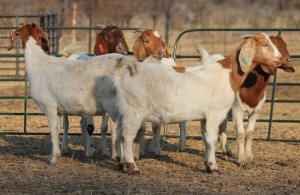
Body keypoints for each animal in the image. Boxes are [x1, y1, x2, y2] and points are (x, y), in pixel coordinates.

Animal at [6, 22, 126, 165]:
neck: (38, 62)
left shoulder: (49, 106)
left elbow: (52, 130)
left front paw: (53, 159)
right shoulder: (57, 110)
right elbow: (57, 130)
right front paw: (52, 155)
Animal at [113, 32, 282, 175]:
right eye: (264, 44)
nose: (280, 59)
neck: (228, 74)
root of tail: (131, 70)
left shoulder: (204, 117)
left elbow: (206, 139)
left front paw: (207, 163)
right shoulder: (214, 114)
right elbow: (212, 139)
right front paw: (214, 167)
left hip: (123, 112)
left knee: (117, 133)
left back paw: (120, 163)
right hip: (134, 111)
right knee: (127, 137)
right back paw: (132, 167)